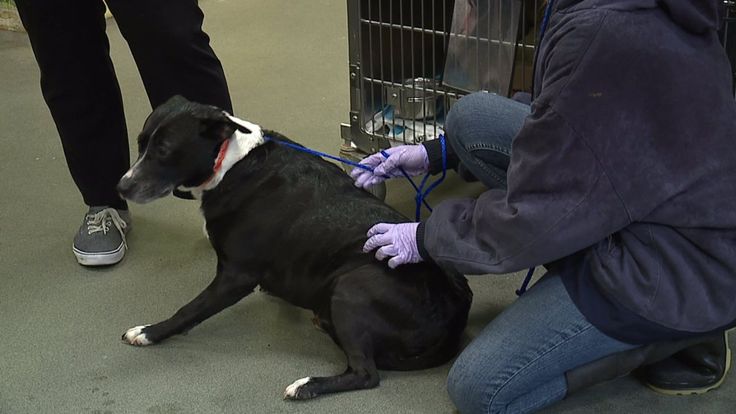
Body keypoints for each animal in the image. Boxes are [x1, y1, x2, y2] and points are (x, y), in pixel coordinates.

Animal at [115, 96, 472, 402]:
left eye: (164, 150)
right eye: (140, 144)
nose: (121, 186)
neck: (230, 162)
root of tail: (455, 321)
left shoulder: (235, 275)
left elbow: (189, 310)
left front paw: (150, 332)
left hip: (351, 285)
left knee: (366, 374)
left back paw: (307, 385)